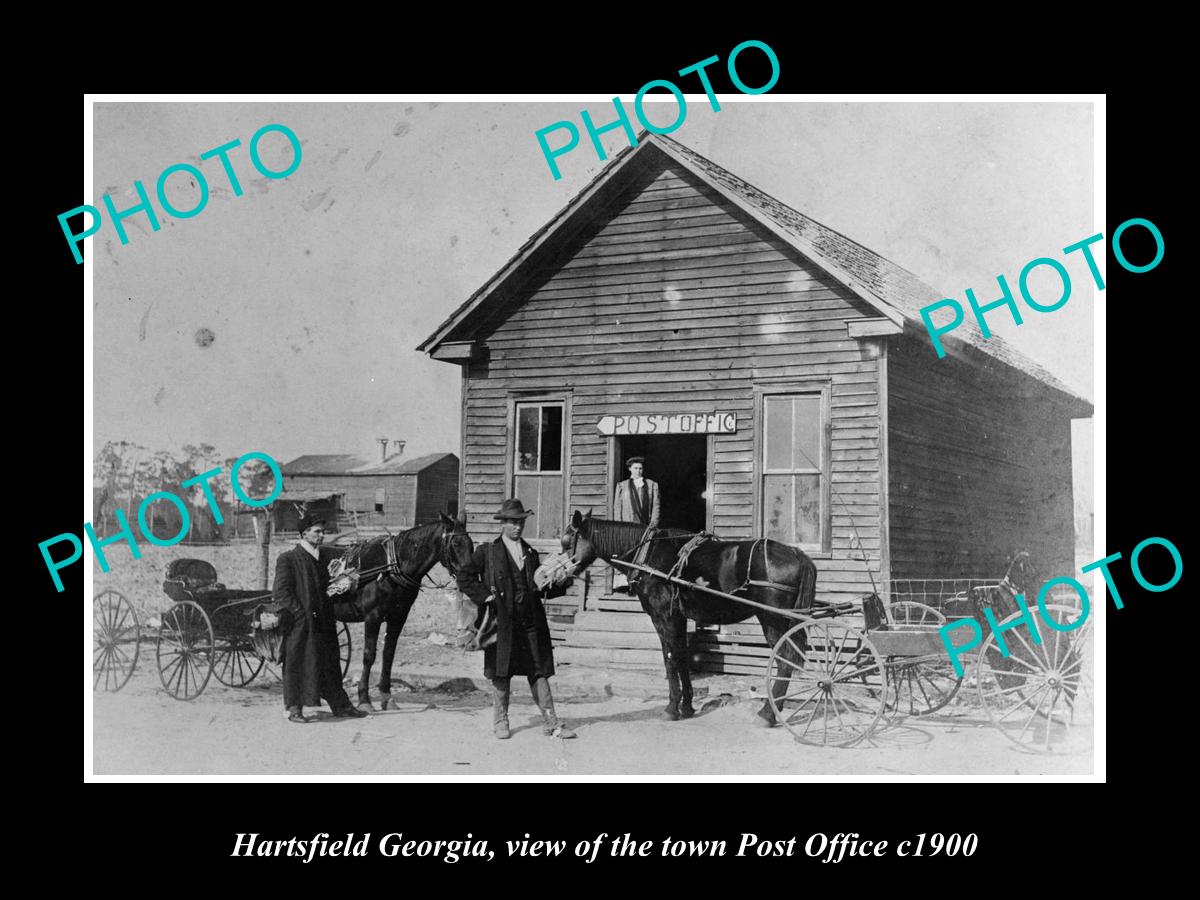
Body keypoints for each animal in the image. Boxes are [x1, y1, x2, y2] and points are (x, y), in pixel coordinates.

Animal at [336, 513, 475, 710]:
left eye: (470, 543)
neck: (390, 568)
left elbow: (388, 655)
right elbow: (369, 655)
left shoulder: (398, 617)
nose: (471, 574)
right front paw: (364, 699)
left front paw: (386, 696)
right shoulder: (372, 617)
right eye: (456, 544)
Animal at [561, 513, 816, 724]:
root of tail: (795, 553)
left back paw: (768, 713)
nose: (562, 578)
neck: (648, 554)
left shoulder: (663, 617)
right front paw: (687, 706)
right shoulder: (679, 618)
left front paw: (671, 708)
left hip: (772, 618)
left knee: (785, 658)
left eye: (566, 541)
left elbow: (670, 658)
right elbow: (682, 656)